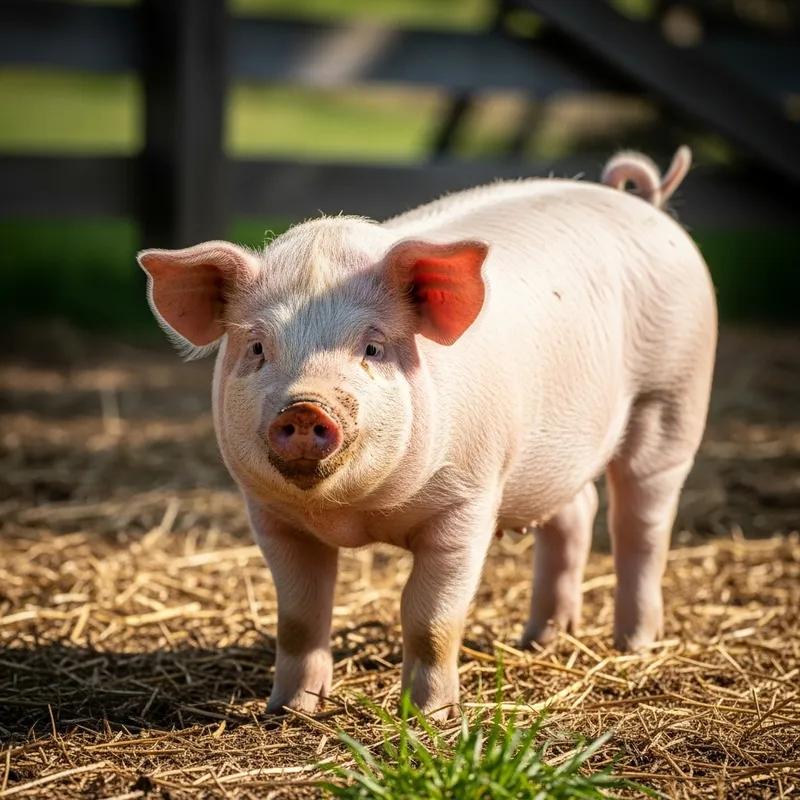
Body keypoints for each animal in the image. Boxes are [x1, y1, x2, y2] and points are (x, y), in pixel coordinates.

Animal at [138, 144, 716, 721]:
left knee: (641, 522)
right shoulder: (273, 518)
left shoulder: (466, 501)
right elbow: (299, 616)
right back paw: (540, 641)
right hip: (550, 453)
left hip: (673, 398)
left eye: (373, 347)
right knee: (576, 512)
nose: (304, 406)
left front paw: (427, 719)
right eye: (258, 347)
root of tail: (641, 204)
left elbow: (430, 619)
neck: (355, 515)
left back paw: (633, 644)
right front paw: (287, 711)